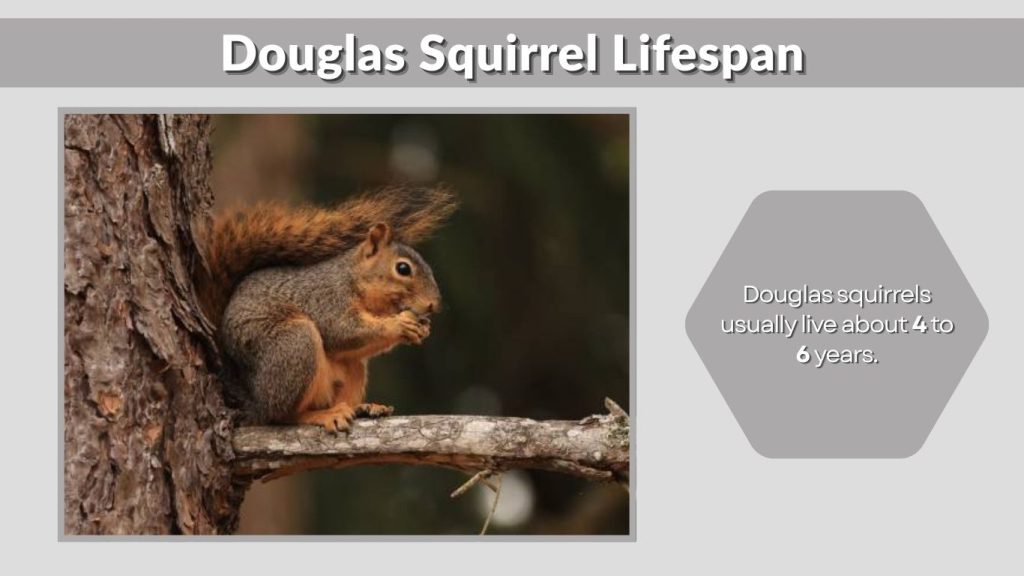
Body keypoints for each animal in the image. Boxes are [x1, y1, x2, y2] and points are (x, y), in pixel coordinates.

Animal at [197, 186, 457, 432]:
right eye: (403, 268)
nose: (434, 304)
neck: (354, 280)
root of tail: (252, 403)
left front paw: (422, 329)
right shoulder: (326, 299)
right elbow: (341, 331)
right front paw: (399, 324)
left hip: (352, 368)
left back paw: (363, 408)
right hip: (293, 345)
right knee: (279, 416)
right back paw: (323, 415)